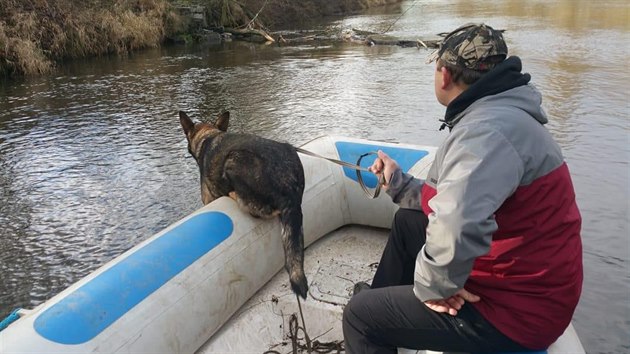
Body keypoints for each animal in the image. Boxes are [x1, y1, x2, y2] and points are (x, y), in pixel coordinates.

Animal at [179, 110, 310, 298]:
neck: (209, 135)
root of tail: (289, 187)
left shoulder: (208, 198)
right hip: (289, 148)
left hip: (234, 160)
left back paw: (233, 194)